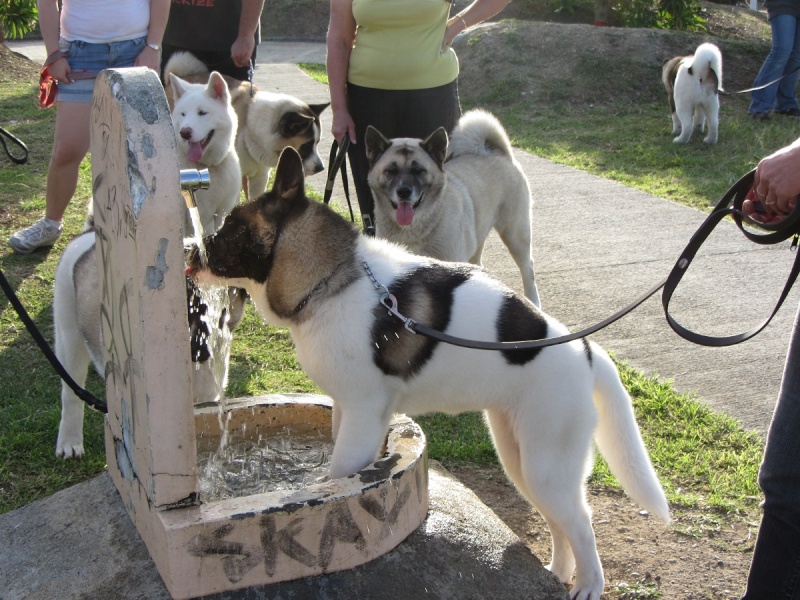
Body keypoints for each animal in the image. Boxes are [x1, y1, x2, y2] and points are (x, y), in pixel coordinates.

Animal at [186, 146, 668, 600]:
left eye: (230, 229)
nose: (193, 246)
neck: (332, 280)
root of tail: (585, 350)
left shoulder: (362, 418)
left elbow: (340, 474)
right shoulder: (347, 411)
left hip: (546, 464)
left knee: (581, 523)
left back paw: (588, 583)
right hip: (523, 461)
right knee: (560, 521)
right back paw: (558, 572)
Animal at [366, 109, 540, 308]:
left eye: (419, 171)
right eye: (391, 171)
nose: (404, 192)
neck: (416, 228)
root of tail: (500, 153)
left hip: (515, 235)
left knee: (528, 269)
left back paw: (533, 301)